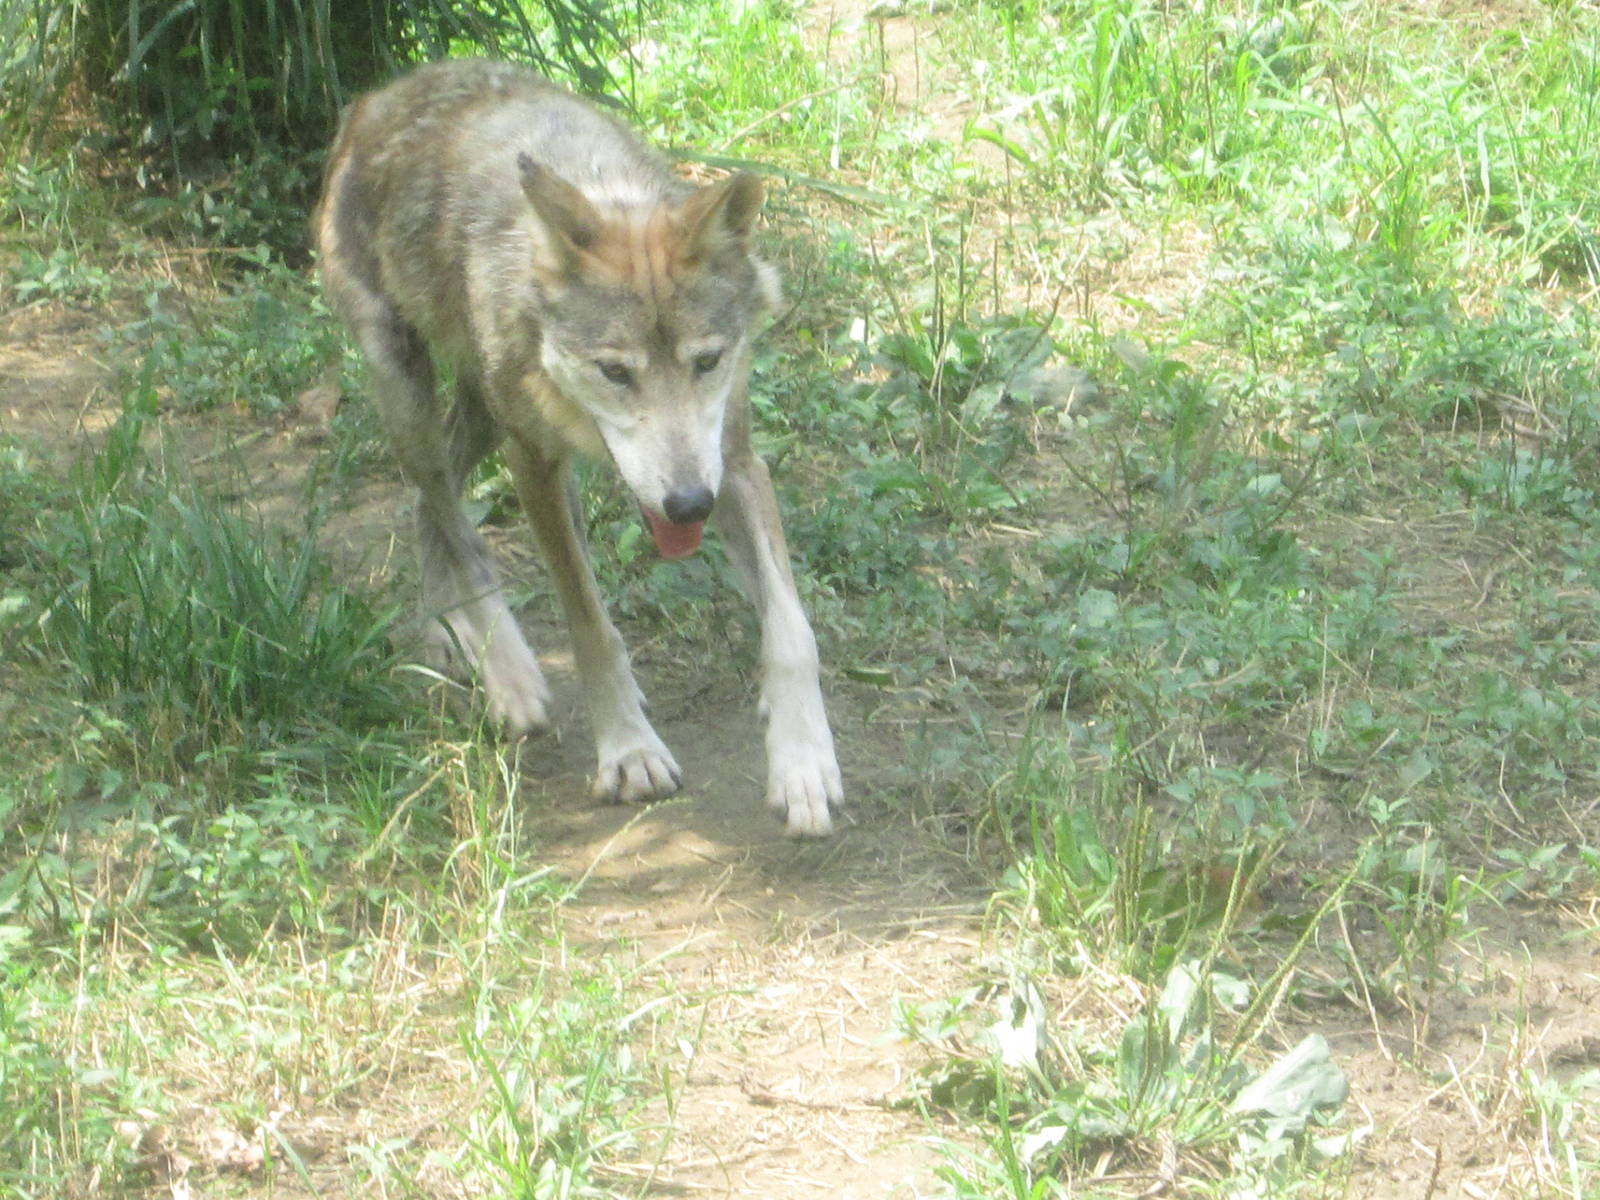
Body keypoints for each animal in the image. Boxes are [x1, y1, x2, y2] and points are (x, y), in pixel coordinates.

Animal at [315, 59, 841, 837]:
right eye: (615, 372)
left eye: (708, 362)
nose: (689, 506)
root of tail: (375, 98)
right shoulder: (532, 463)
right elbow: (590, 624)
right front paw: (628, 750)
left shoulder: (738, 464)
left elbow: (792, 631)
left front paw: (803, 764)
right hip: (409, 392)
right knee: (448, 513)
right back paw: (505, 672)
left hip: (479, 418)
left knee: (430, 505)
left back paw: (445, 626)